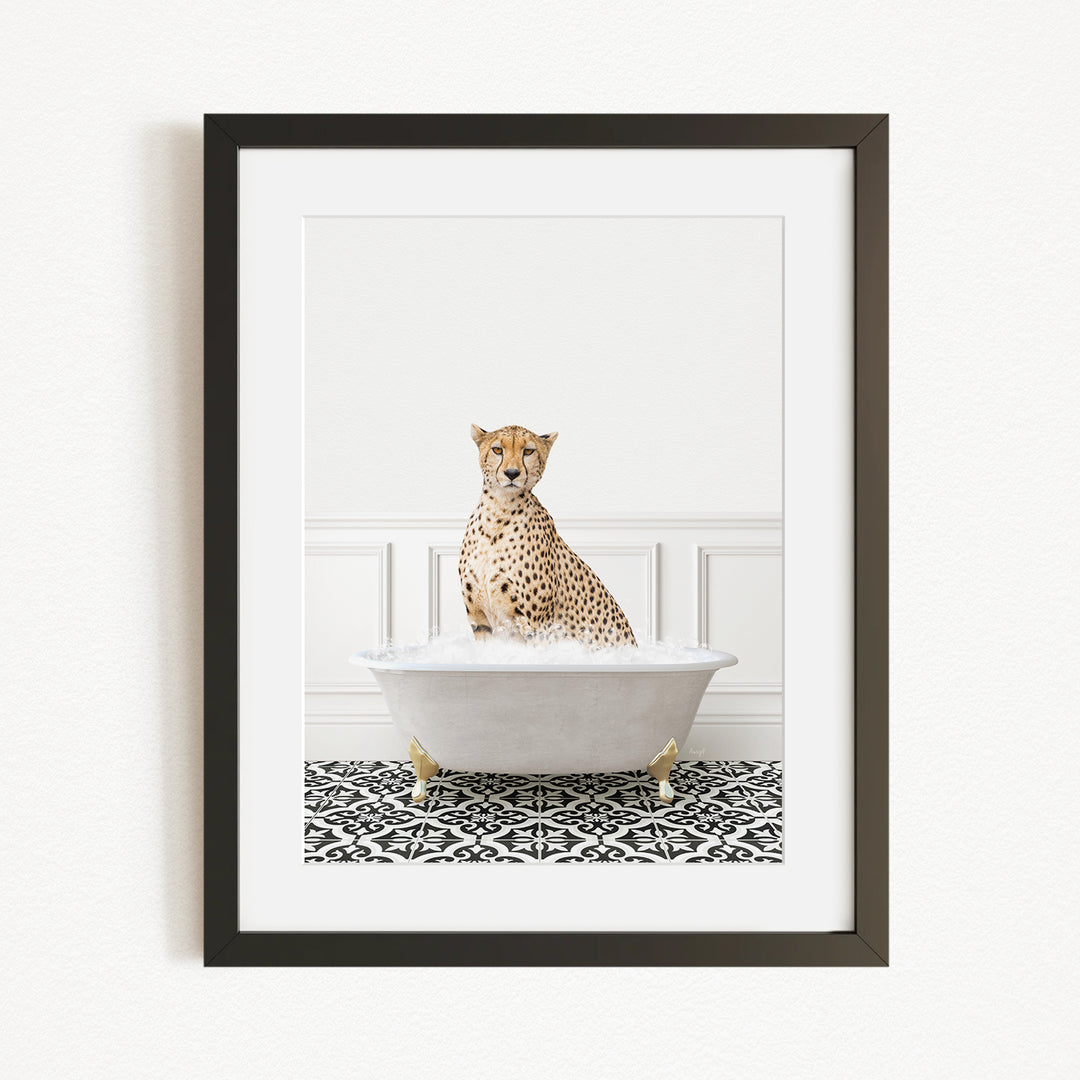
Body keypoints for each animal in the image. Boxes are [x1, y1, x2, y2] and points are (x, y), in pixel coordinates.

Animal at [458, 423, 637, 648]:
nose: (511, 473)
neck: (498, 511)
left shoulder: (536, 627)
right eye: (497, 450)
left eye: (528, 451)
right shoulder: (480, 621)